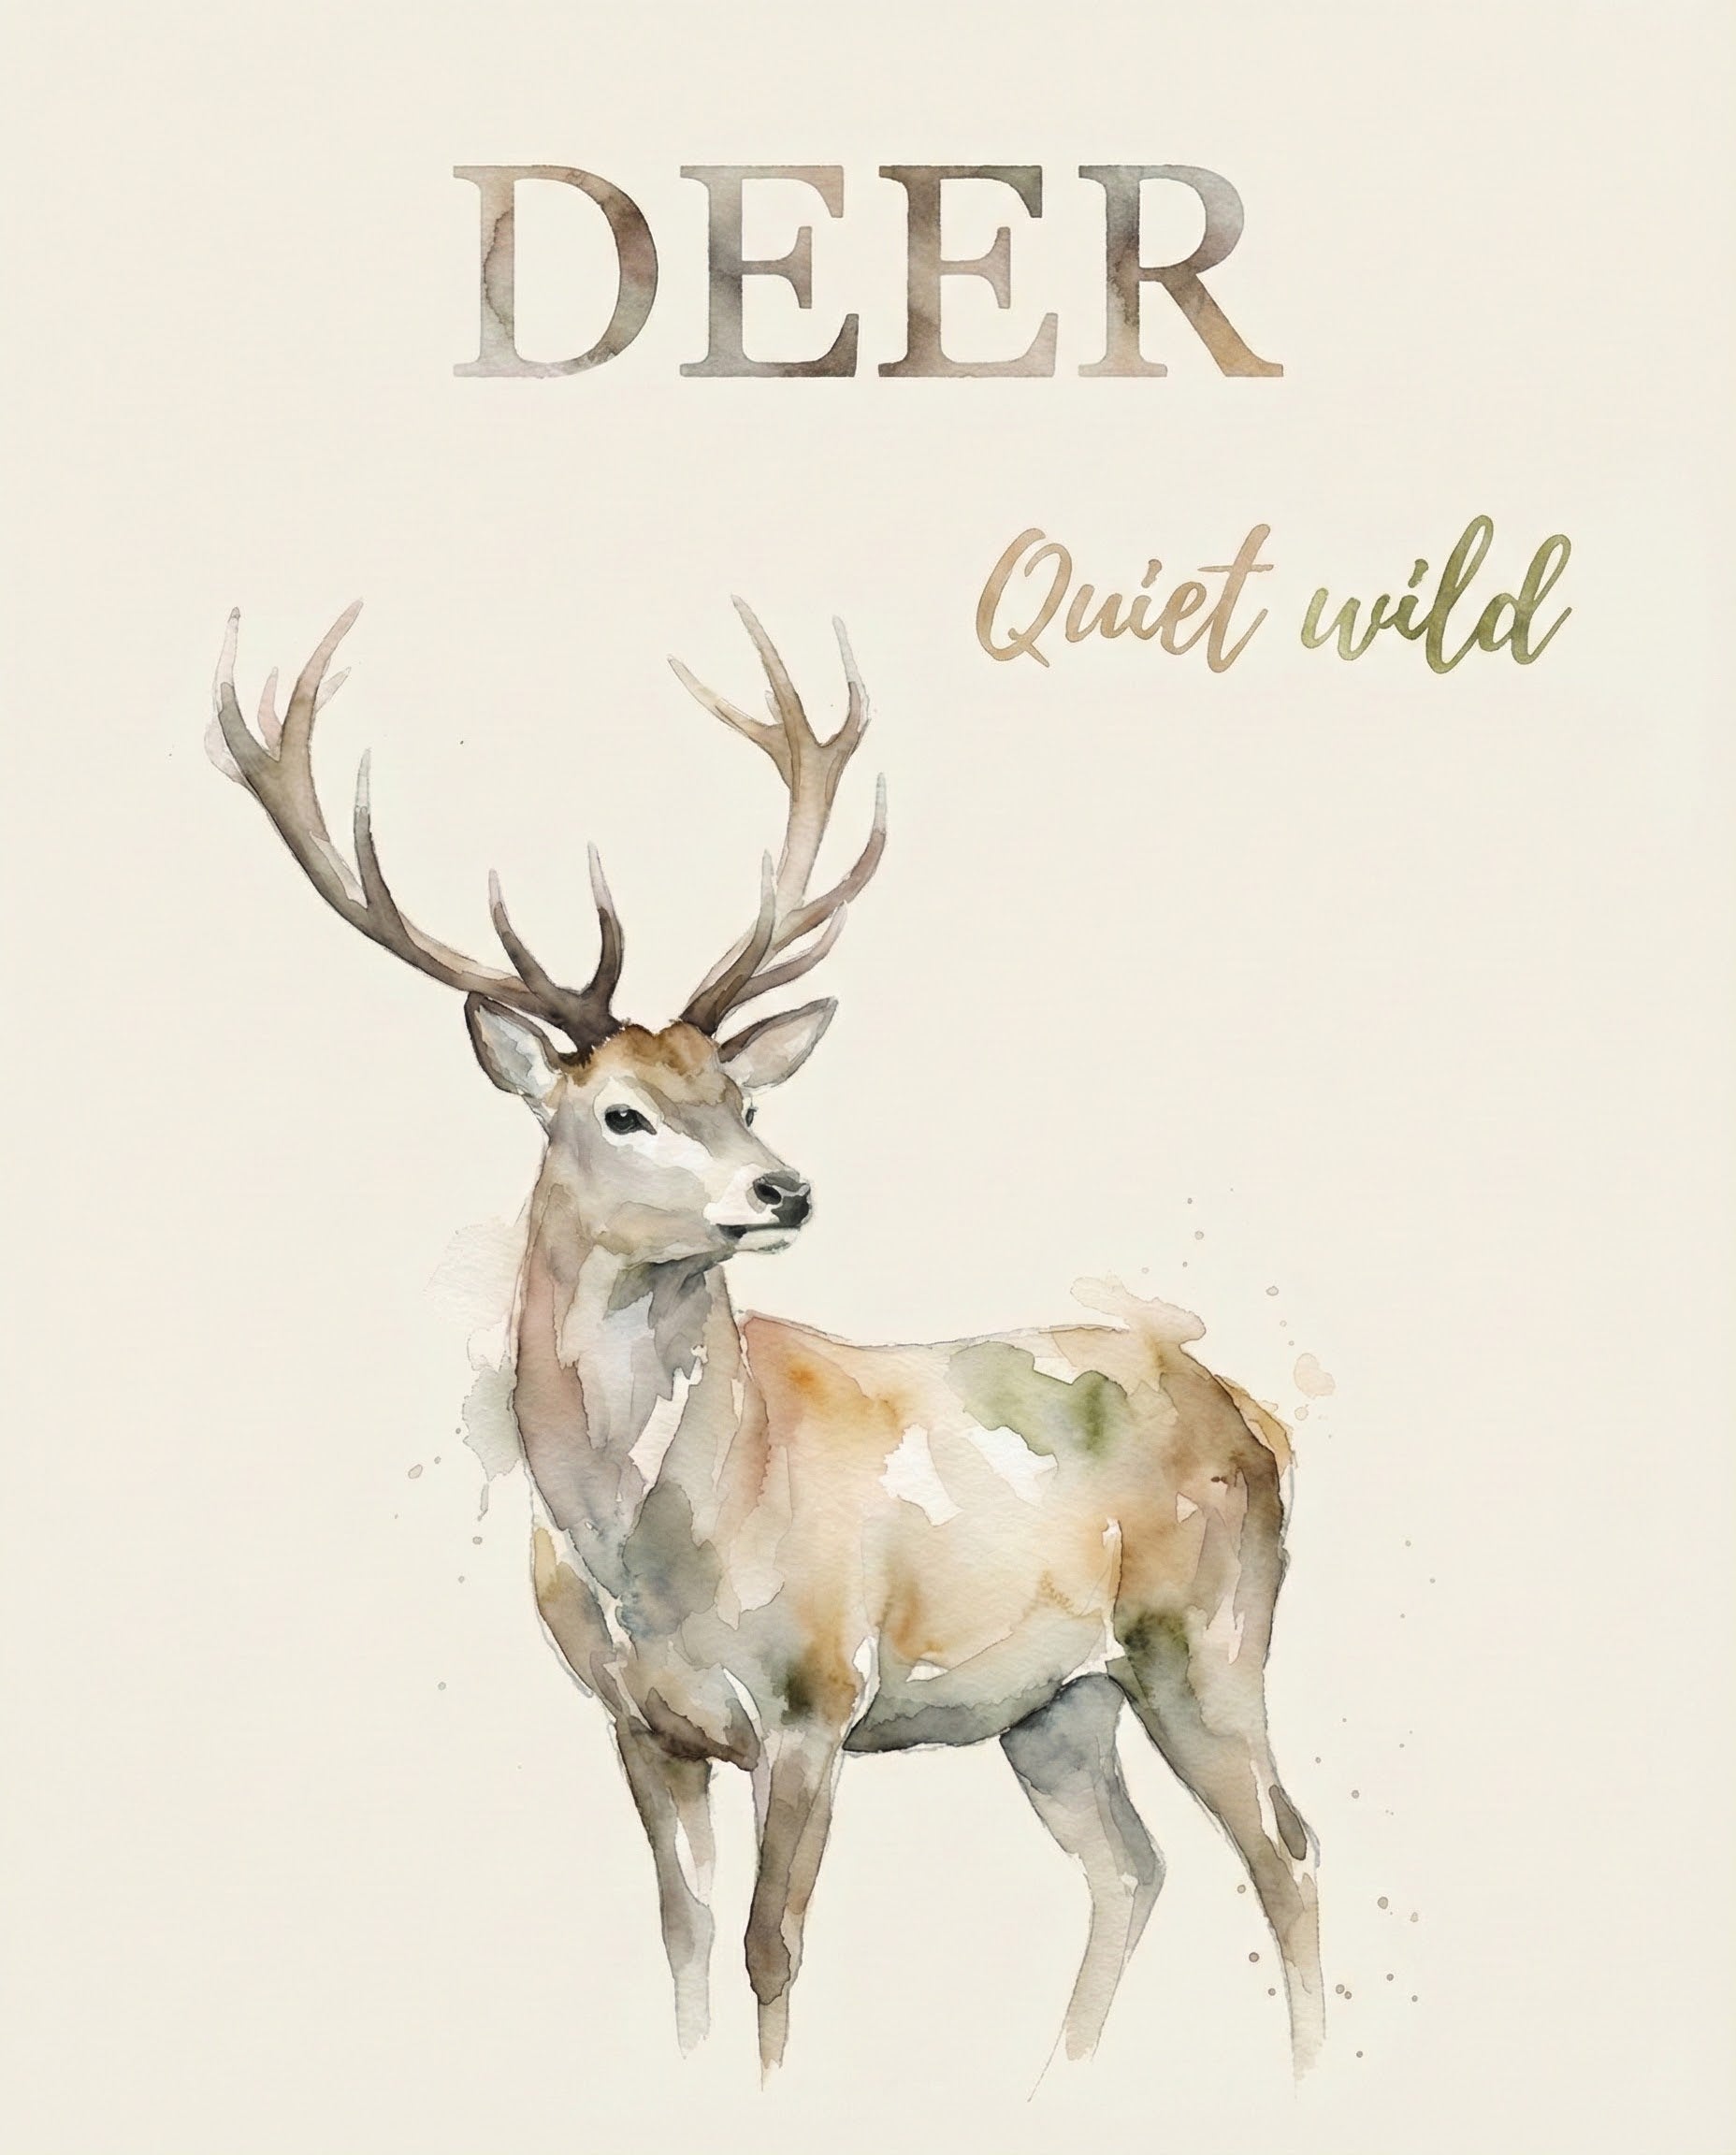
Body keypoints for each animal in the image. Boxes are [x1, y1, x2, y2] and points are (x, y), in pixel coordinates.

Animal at [209, 598, 1324, 2079]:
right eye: (622, 1111)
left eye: (738, 1094)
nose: (784, 1189)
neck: (657, 1550)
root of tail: (1255, 1416)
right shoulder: (637, 1724)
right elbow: (681, 1941)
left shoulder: (813, 1701)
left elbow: (767, 1949)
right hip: (1053, 1700)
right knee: (1131, 1866)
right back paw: (1057, 2077)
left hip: (1204, 1635)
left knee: (1284, 1849)